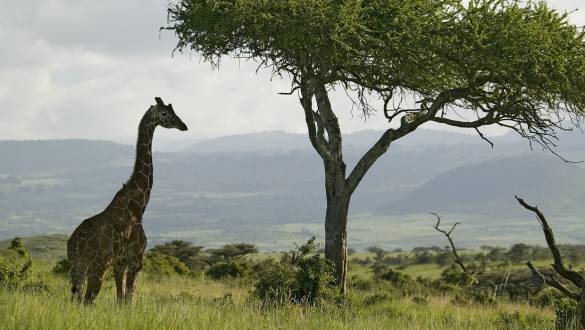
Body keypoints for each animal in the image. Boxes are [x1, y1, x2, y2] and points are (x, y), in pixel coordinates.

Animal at [67, 97, 188, 304]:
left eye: (174, 110)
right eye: (165, 113)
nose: (184, 126)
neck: (140, 204)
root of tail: (76, 242)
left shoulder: (120, 262)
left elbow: (120, 298)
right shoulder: (136, 259)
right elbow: (129, 298)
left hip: (77, 265)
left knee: (76, 298)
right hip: (98, 265)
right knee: (89, 299)